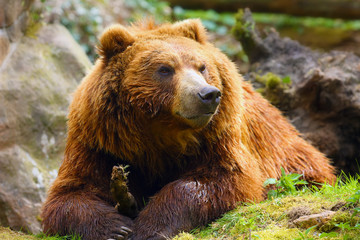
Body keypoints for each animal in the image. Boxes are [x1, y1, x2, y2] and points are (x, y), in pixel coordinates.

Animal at [40, 19, 336, 240]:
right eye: (165, 69)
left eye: (201, 66)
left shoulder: (220, 137)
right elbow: (69, 194)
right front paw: (116, 227)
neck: (162, 134)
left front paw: (150, 225)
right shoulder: (99, 141)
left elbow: (223, 180)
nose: (208, 94)